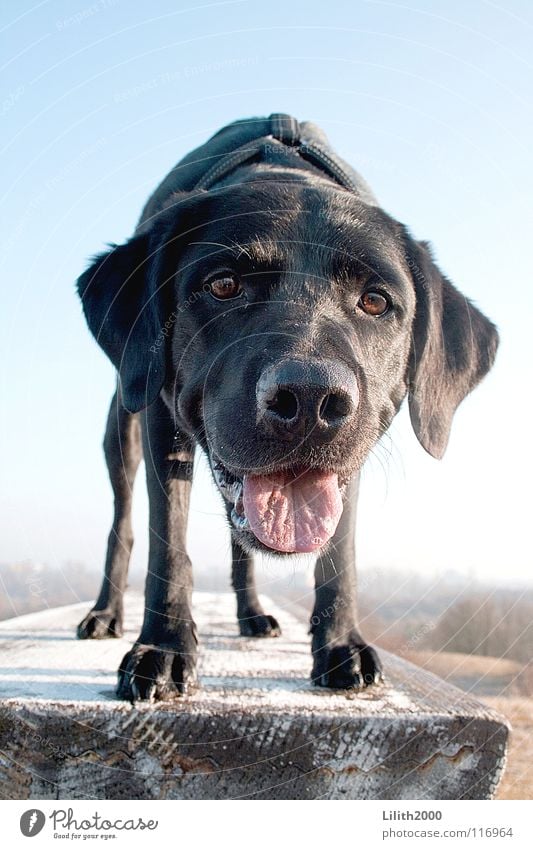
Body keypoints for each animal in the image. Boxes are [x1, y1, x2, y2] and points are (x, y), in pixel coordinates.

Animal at [76, 116, 498, 700]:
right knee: (125, 522)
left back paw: (252, 613)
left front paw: (340, 644)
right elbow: (169, 543)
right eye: (223, 284)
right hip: (123, 426)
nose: (311, 399)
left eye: (375, 301)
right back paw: (105, 613)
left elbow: (339, 555)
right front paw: (161, 648)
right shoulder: (162, 421)